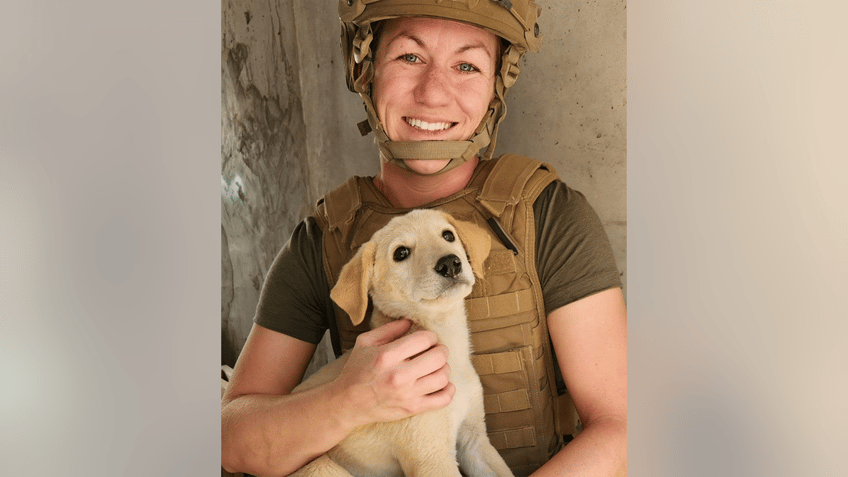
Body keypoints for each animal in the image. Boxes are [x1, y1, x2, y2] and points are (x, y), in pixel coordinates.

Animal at [288, 209, 512, 476]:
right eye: (401, 253)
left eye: (448, 235)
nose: (450, 263)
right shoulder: (432, 459)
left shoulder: (474, 439)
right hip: (322, 467)